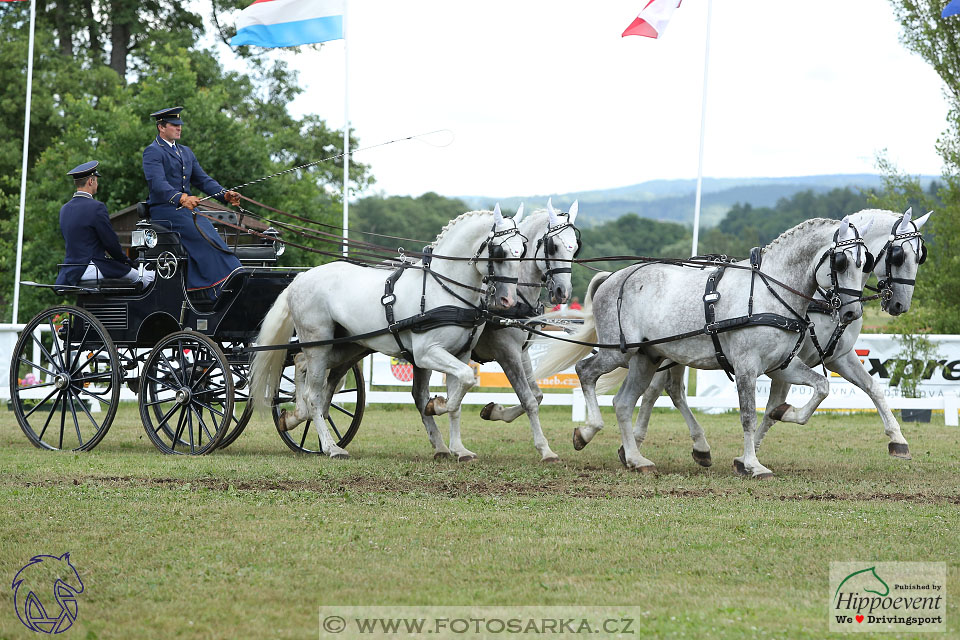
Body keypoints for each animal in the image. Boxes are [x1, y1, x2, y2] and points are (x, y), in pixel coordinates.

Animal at [249, 205, 524, 456]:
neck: (442, 289)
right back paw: (330, 446)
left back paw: (294, 416)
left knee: (300, 363)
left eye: (522, 251)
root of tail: (299, 279)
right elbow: (464, 382)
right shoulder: (426, 353)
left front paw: (459, 449)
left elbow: (460, 395)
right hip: (320, 343)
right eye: (498, 252)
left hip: (343, 347)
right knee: (314, 393)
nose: (508, 300)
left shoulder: (462, 355)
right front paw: (435, 405)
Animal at [410, 198, 580, 462]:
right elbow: (529, 400)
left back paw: (440, 443)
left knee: (419, 396)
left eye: (575, 248)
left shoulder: (522, 353)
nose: (563, 292)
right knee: (420, 396)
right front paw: (545, 449)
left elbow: (537, 395)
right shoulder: (507, 352)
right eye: (553, 246)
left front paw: (492, 411)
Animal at [540, 216, 872, 476]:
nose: (851, 313)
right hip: (616, 351)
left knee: (624, 402)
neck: (770, 291)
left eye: (865, 263)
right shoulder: (746, 367)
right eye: (840, 262)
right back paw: (587, 431)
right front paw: (753, 465)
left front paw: (785, 413)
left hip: (646, 357)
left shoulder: (782, 364)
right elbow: (748, 415)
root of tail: (613, 277)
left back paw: (636, 459)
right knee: (586, 371)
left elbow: (820, 388)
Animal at [600, 210, 928, 470]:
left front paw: (898, 440)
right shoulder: (785, 362)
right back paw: (641, 445)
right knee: (657, 391)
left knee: (663, 390)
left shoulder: (835, 357)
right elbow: (767, 410)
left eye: (919, 256)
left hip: (666, 351)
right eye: (898, 255)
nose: (900, 304)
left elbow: (871, 388)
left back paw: (666, 448)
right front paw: (750, 455)